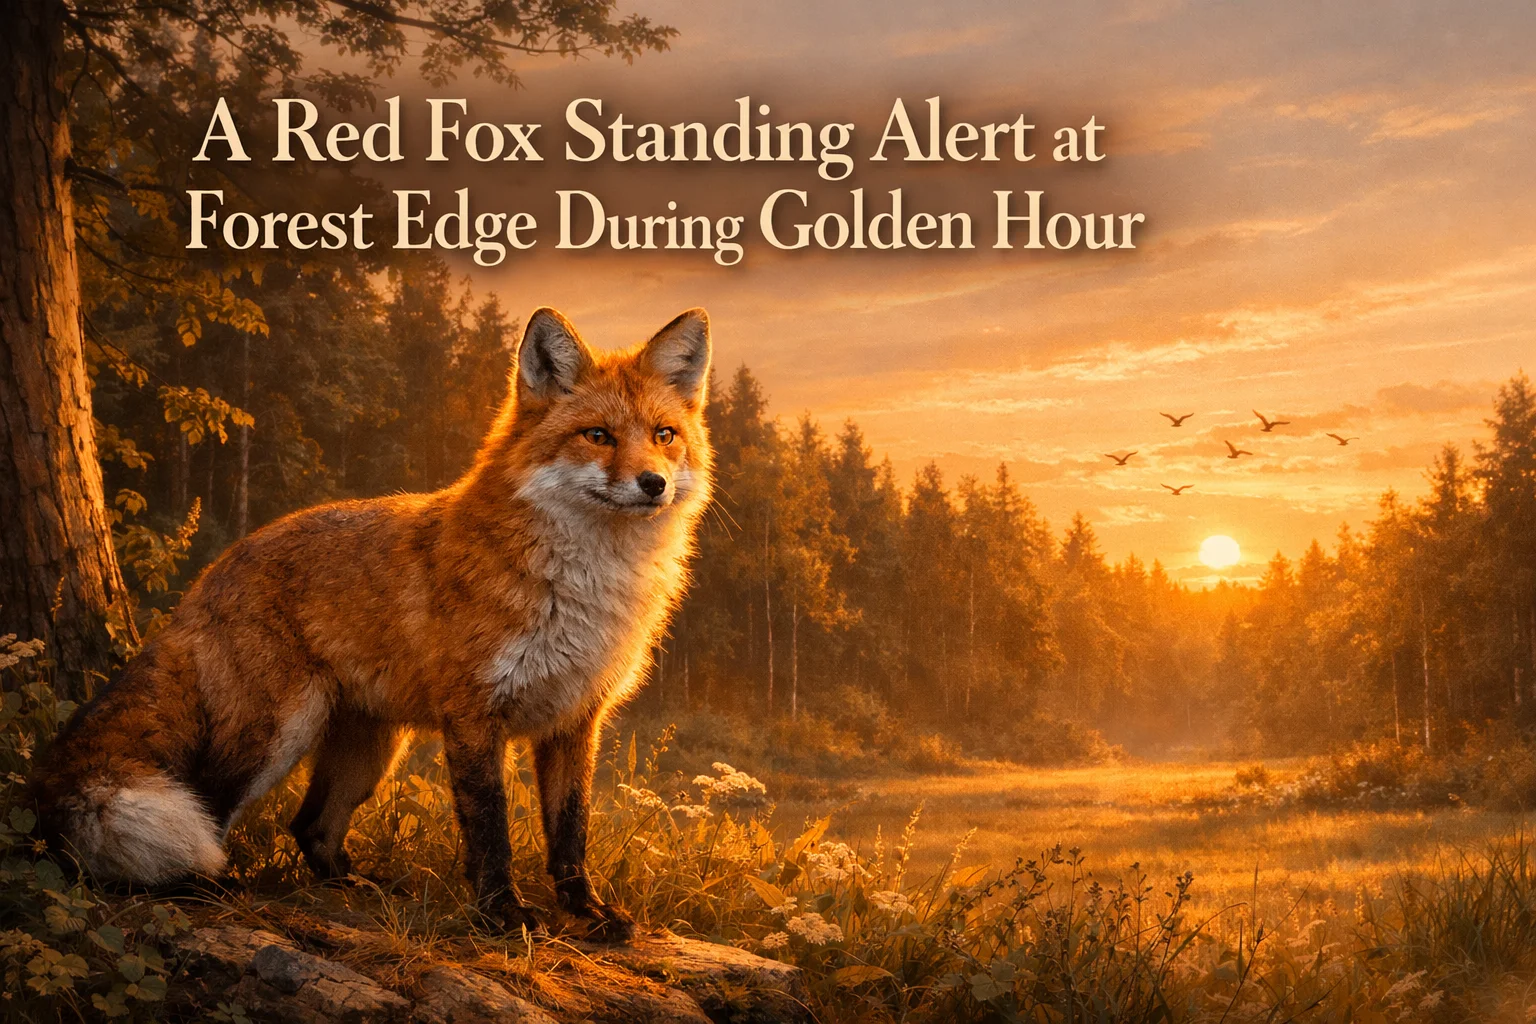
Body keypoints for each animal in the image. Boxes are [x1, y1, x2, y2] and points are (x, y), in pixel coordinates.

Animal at [30, 306, 714, 941]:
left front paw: (587, 913)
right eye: (598, 435)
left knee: (309, 827)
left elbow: (571, 835)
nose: (653, 483)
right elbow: (490, 831)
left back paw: (354, 885)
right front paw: (502, 914)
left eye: (664, 435)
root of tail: (213, 571)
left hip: (372, 750)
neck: (582, 593)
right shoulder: (474, 714)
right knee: (210, 810)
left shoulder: (575, 719)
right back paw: (207, 887)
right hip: (278, 733)